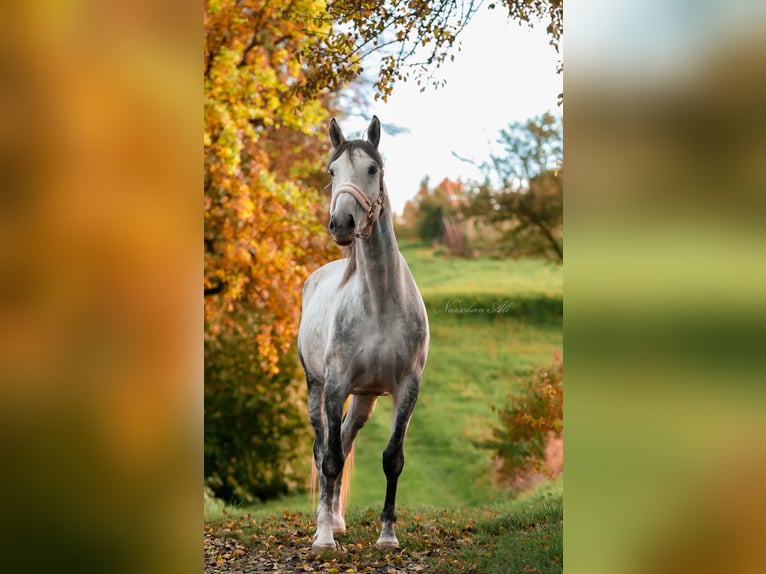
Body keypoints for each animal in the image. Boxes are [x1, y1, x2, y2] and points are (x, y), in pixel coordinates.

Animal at [298, 115, 428, 552]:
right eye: (331, 171)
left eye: (373, 169)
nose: (341, 224)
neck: (380, 303)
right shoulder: (336, 384)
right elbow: (330, 459)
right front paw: (323, 540)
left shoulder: (407, 387)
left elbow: (393, 458)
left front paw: (387, 535)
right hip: (317, 388)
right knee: (324, 446)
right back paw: (325, 523)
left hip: (365, 399)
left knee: (346, 437)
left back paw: (337, 519)